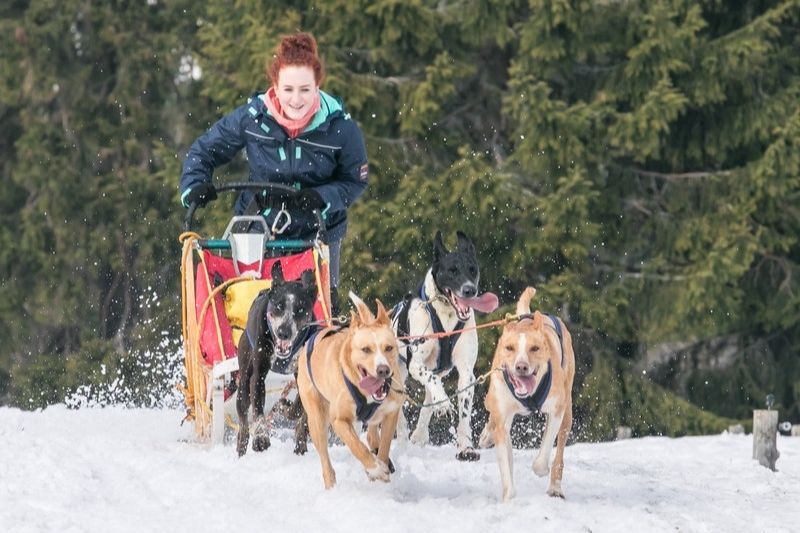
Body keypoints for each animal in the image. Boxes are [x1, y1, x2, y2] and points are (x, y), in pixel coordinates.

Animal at [236, 260, 318, 456]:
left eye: (300, 309)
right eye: (279, 306)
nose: (283, 332)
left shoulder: (304, 377)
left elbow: (298, 410)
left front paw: (284, 406)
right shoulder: (258, 376)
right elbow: (258, 411)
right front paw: (260, 438)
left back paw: (301, 444)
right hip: (243, 382)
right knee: (243, 421)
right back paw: (242, 447)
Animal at [296, 294, 404, 488]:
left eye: (389, 348)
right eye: (366, 349)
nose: (383, 370)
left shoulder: (392, 411)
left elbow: (384, 446)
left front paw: (382, 467)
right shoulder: (339, 420)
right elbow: (357, 447)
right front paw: (375, 469)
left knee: (372, 434)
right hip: (317, 420)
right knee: (326, 460)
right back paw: (331, 486)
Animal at [392, 231, 496, 460]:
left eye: (472, 269)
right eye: (452, 270)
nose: (469, 290)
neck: (446, 317)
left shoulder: (466, 372)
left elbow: (464, 412)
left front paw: (466, 448)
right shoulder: (415, 364)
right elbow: (431, 381)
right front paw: (445, 402)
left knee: (429, 398)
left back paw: (421, 432)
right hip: (396, 376)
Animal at [482, 286, 576, 498]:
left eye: (535, 348)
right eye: (509, 348)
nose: (521, 367)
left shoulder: (556, 410)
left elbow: (542, 457)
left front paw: (541, 469)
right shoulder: (502, 419)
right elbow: (505, 464)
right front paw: (509, 497)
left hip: (567, 412)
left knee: (559, 453)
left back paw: (555, 487)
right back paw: (486, 435)